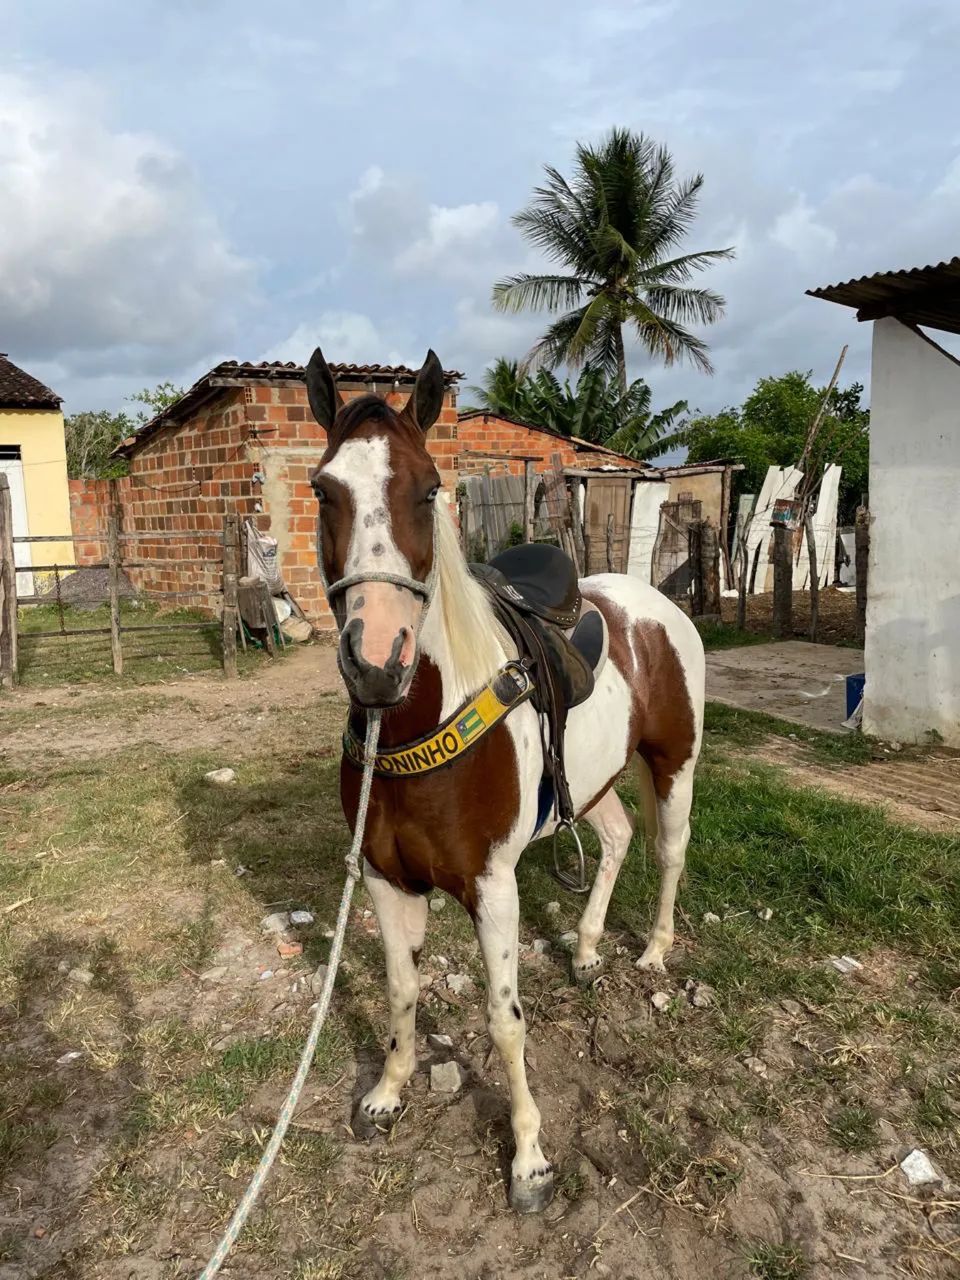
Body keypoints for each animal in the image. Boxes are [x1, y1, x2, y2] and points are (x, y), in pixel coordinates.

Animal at [307, 348, 705, 1214]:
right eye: (323, 489)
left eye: (429, 489)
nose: (376, 661)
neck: (419, 723)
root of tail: (654, 604)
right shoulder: (385, 880)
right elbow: (402, 992)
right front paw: (386, 1096)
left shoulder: (494, 885)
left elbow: (504, 1019)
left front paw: (528, 1160)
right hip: (594, 783)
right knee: (618, 840)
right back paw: (586, 949)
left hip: (675, 765)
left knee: (668, 852)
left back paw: (655, 951)